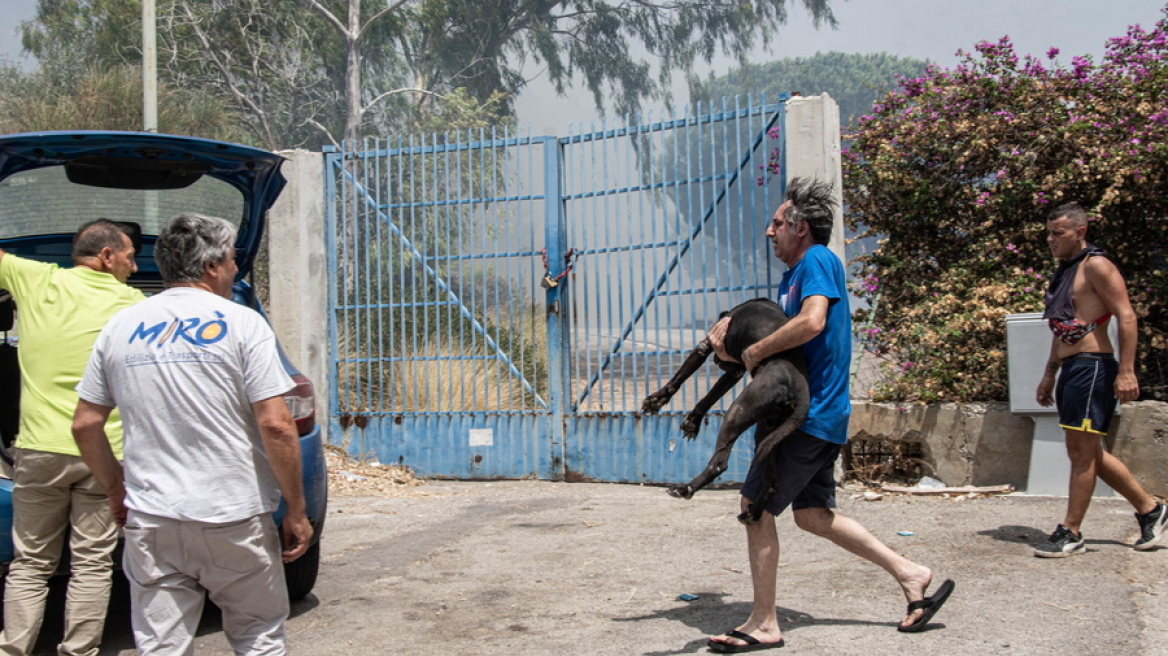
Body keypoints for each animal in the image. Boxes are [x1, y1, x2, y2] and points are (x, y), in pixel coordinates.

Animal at [644, 298, 808, 522]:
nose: (717, 361)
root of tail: (799, 388)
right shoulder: (735, 370)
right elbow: (709, 397)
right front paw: (693, 423)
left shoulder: (706, 345)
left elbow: (678, 379)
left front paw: (656, 401)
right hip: (769, 434)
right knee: (772, 483)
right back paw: (753, 512)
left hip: (737, 412)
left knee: (719, 464)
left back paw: (686, 488)